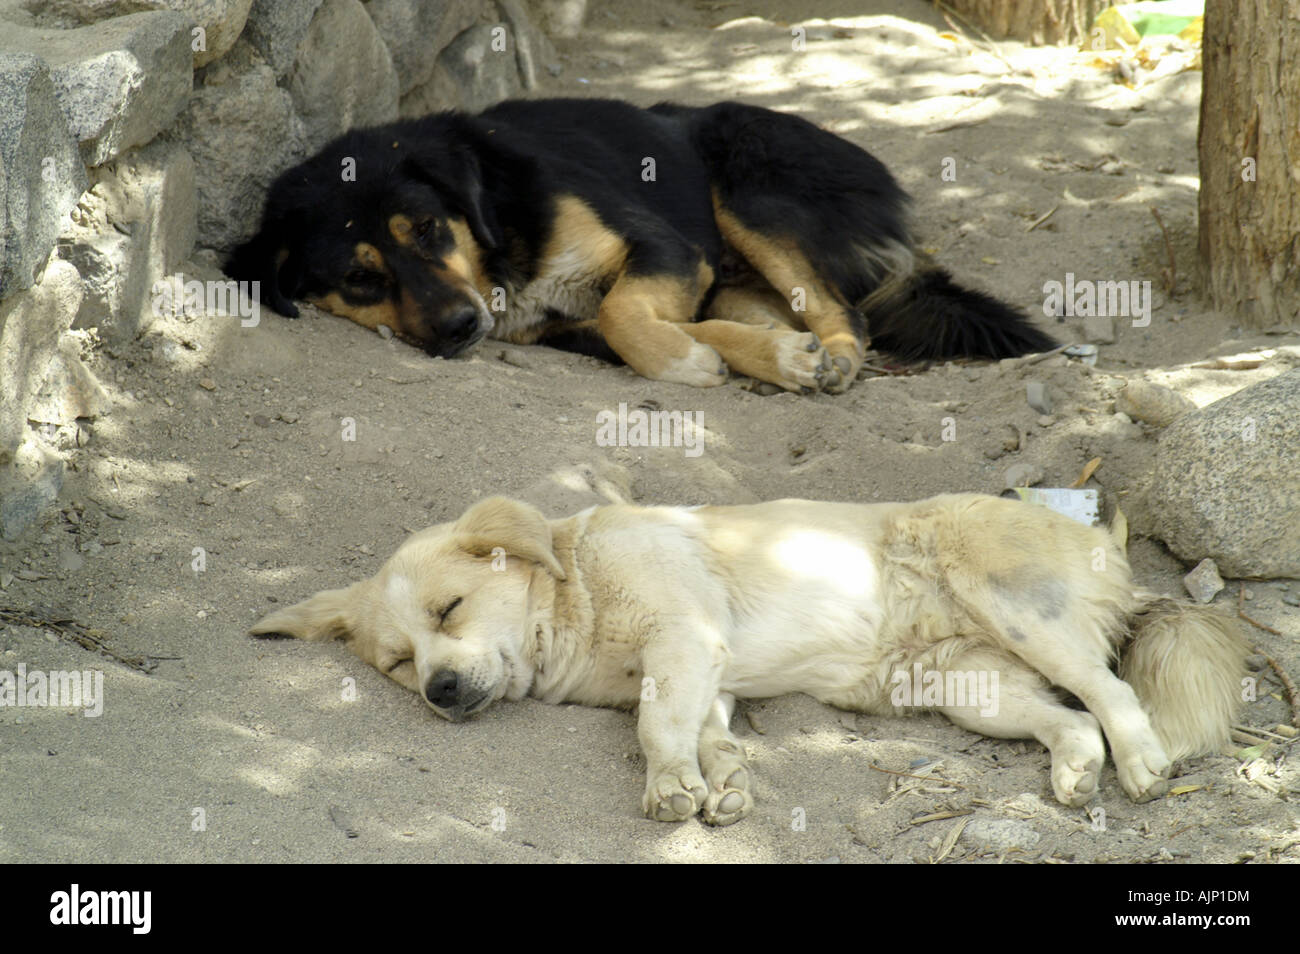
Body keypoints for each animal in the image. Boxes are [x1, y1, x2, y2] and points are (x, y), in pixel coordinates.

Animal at [226, 98, 1055, 395]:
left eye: (428, 228)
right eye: (360, 278)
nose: (461, 329)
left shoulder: (665, 246)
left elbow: (627, 314)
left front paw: (688, 362)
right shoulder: (571, 324)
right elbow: (637, 325)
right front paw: (731, 358)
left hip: (744, 184)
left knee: (844, 314)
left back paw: (838, 358)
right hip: (740, 269)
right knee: (786, 318)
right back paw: (790, 358)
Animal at [250, 496, 1248, 826]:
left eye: (449, 611)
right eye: (396, 663)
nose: (442, 690)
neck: (577, 605)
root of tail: (1108, 546)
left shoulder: (685, 642)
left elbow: (657, 727)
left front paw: (671, 792)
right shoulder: (706, 671)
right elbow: (704, 732)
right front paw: (722, 785)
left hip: (1018, 613)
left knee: (1109, 689)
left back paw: (1143, 762)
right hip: (959, 686)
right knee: (1068, 717)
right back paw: (1079, 772)